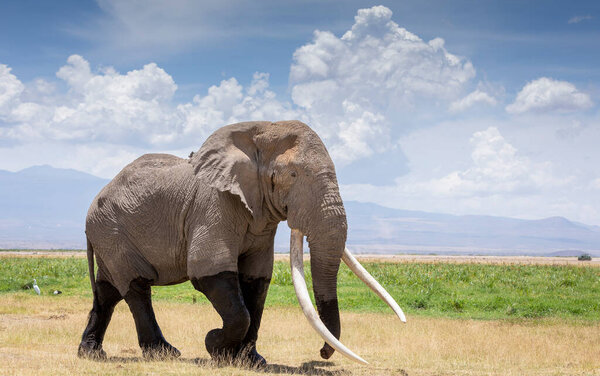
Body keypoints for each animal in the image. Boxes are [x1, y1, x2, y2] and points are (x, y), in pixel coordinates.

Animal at [75, 119, 404, 364]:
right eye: (293, 174)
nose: (322, 352)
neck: (260, 132)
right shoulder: (213, 205)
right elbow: (209, 272)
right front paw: (214, 345)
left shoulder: (261, 218)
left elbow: (257, 281)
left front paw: (250, 361)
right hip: (111, 230)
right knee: (135, 287)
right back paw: (164, 354)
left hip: (109, 236)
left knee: (107, 291)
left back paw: (92, 354)